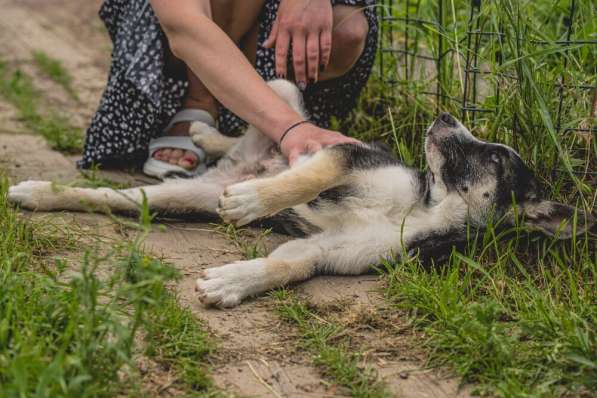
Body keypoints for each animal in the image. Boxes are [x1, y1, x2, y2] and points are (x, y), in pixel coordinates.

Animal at [7, 78, 592, 308]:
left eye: (494, 157)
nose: (446, 116)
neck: (423, 206)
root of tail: (241, 164)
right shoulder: (346, 154)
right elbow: (309, 175)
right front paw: (255, 201)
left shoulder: (325, 253)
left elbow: (285, 266)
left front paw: (233, 283)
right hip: (284, 94)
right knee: (275, 122)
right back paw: (214, 145)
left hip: (178, 199)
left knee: (109, 199)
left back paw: (39, 193)